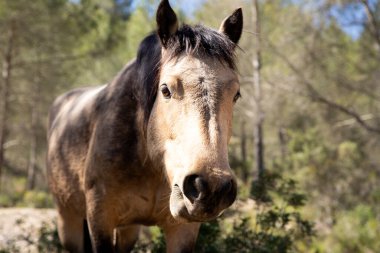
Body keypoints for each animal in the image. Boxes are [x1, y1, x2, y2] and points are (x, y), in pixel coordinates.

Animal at [46, 0, 243, 252]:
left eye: (236, 94)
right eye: (165, 89)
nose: (211, 186)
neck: (149, 161)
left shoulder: (183, 230)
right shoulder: (100, 220)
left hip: (128, 229)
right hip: (68, 220)